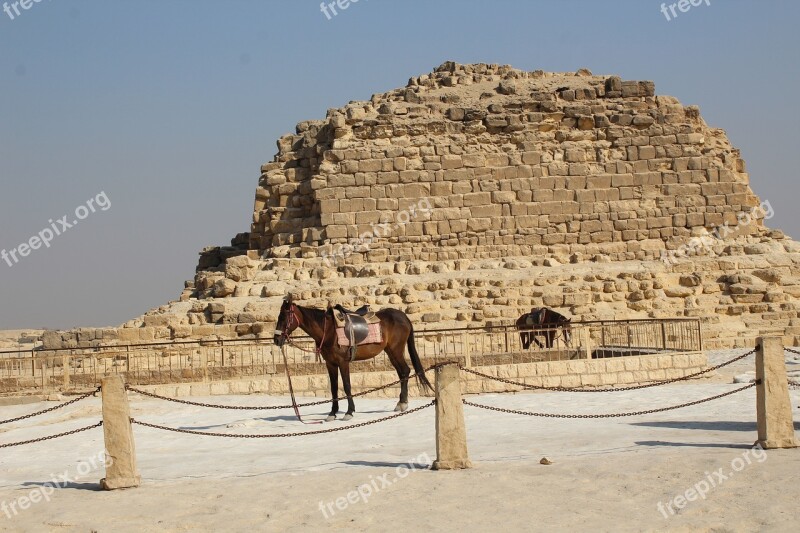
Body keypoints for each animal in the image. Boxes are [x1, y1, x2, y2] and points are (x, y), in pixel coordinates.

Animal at [274, 296, 432, 420]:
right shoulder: (330, 364)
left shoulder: (343, 362)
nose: (276, 340)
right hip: (391, 352)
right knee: (402, 373)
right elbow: (333, 388)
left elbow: (347, 385)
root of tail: (403, 316)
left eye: (284, 317)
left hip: (396, 350)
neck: (329, 331)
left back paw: (403, 403)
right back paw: (401, 402)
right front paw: (332, 413)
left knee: (405, 371)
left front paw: (349, 412)